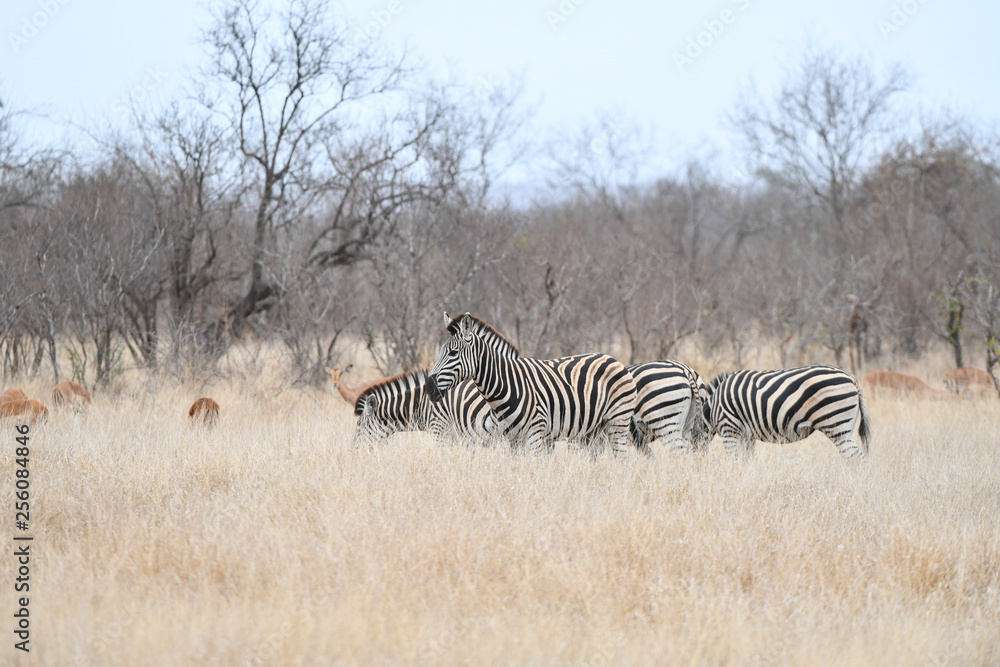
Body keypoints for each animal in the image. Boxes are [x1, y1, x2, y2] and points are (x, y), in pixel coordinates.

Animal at [426, 312, 639, 455]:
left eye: (453, 353)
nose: (429, 388)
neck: (507, 385)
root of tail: (613, 359)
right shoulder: (511, 438)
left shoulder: (535, 434)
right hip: (593, 430)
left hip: (618, 422)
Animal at [702, 364, 872, 460]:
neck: (712, 407)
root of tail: (851, 378)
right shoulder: (747, 435)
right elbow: (745, 461)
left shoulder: (729, 429)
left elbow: (734, 461)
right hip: (842, 427)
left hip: (836, 426)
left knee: (857, 459)